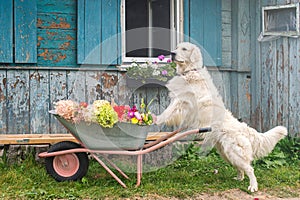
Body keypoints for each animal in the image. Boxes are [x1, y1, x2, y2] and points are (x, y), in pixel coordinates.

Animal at [156, 41, 288, 192]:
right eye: (177, 48)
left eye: (184, 49)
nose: (172, 53)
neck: (191, 71)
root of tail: (244, 128)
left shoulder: (181, 101)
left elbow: (168, 111)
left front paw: (155, 119)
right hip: (226, 153)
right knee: (241, 169)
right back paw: (238, 178)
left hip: (234, 152)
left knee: (250, 169)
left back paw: (253, 186)